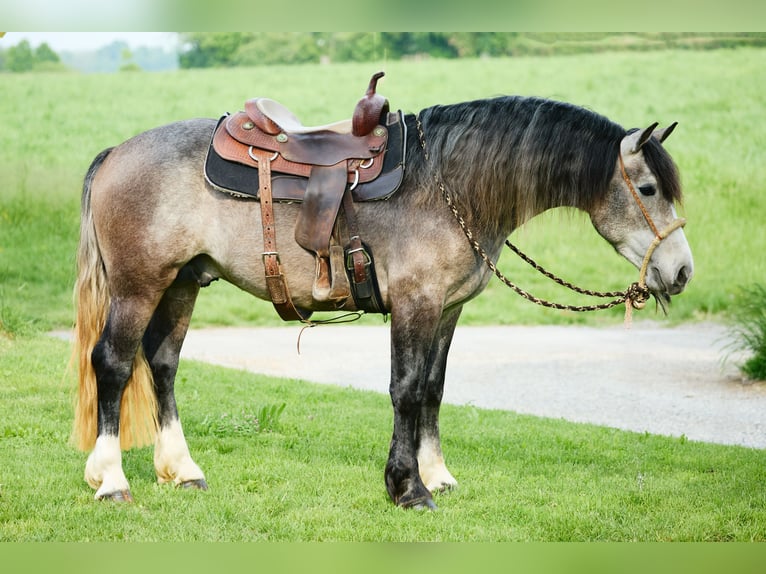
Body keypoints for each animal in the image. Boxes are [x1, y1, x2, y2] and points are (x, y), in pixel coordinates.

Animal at [72, 91, 693, 509]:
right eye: (647, 189)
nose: (682, 271)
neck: (451, 183)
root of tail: (117, 153)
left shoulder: (447, 309)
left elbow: (433, 389)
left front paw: (436, 473)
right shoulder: (415, 304)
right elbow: (406, 390)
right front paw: (407, 486)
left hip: (180, 284)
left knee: (162, 364)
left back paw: (181, 469)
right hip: (138, 287)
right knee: (114, 364)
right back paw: (111, 480)